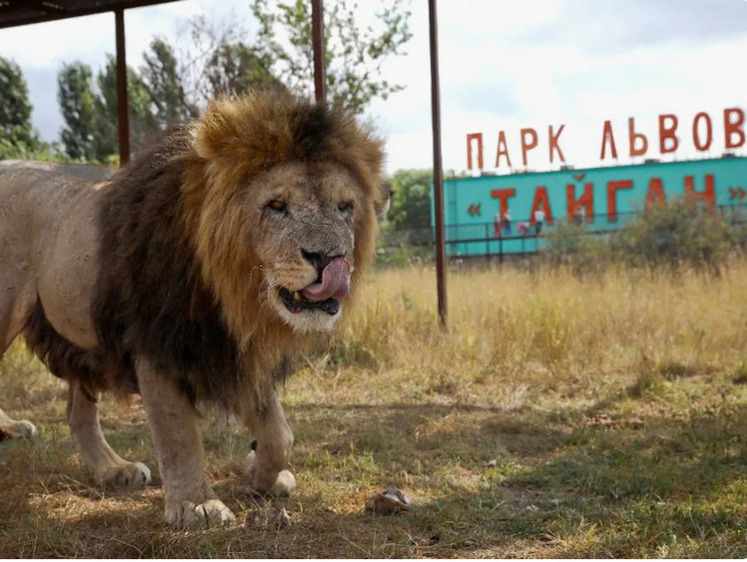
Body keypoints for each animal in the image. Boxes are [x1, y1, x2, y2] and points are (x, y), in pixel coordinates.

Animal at [0, 88, 386, 524]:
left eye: (344, 207)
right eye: (276, 205)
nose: (328, 258)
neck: (232, 291)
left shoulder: (234, 349)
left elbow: (279, 433)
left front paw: (261, 475)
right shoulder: (157, 338)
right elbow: (178, 432)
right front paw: (195, 504)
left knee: (76, 412)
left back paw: (113, 470)